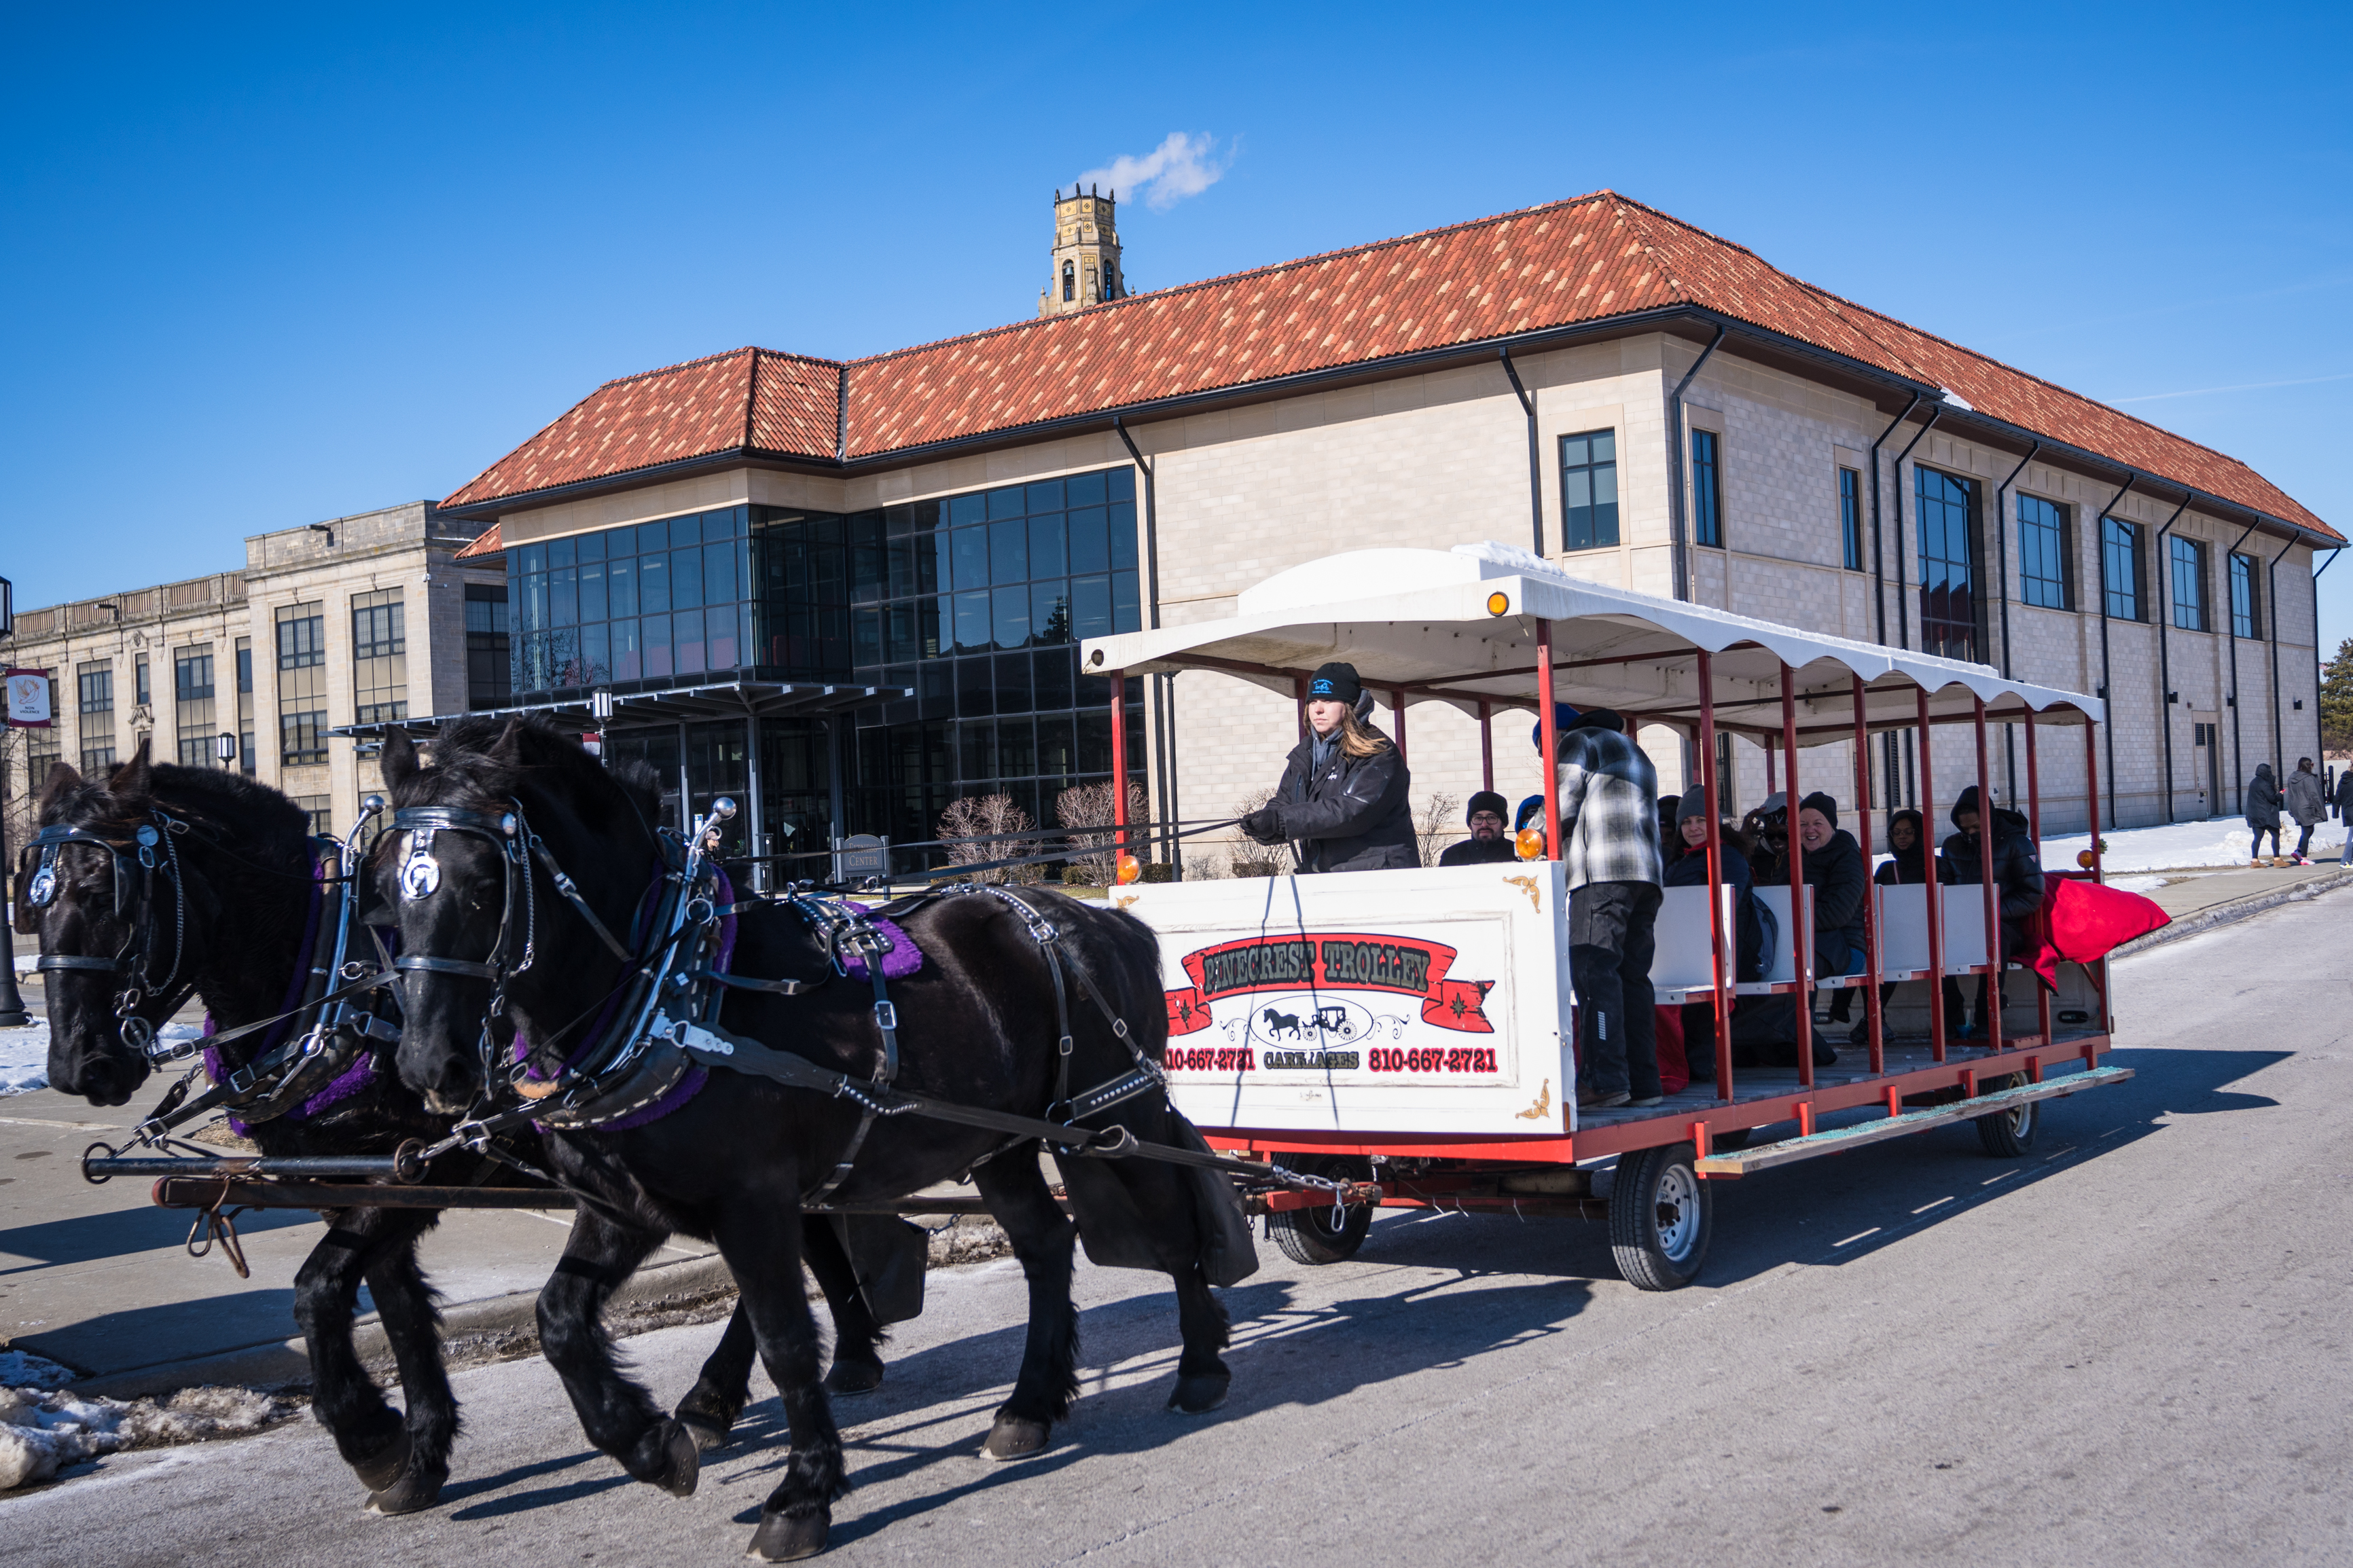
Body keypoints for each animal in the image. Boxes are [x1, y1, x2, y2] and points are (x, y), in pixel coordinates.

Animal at [16, 743, 887, 1512]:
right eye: (31, 895)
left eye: (103, 890)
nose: (77, 1066)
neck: (334, 976)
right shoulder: (355, 1180)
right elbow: (398, 1313)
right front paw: (420, 1451)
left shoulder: (424, 1168)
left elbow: (316, 1291)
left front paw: (370, 1434)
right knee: (806, 1227)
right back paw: (841, 1349)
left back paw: (720, 1394)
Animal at [375, 714, 1241, 1561]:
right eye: (382, 892)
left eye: (485, 886)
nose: (428, 1063)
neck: (675, 986)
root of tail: (1097, 918)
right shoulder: (628, 1203)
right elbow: (558, 1319)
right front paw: (651, 1443)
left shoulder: (752, 1200)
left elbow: (785, 1339)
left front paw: (800, 1495)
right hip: (994, 1142)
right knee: (1045, 1243)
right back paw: (1027, 1406)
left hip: (1114, 1112)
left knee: (1172, 1230)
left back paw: (1199, 1365)